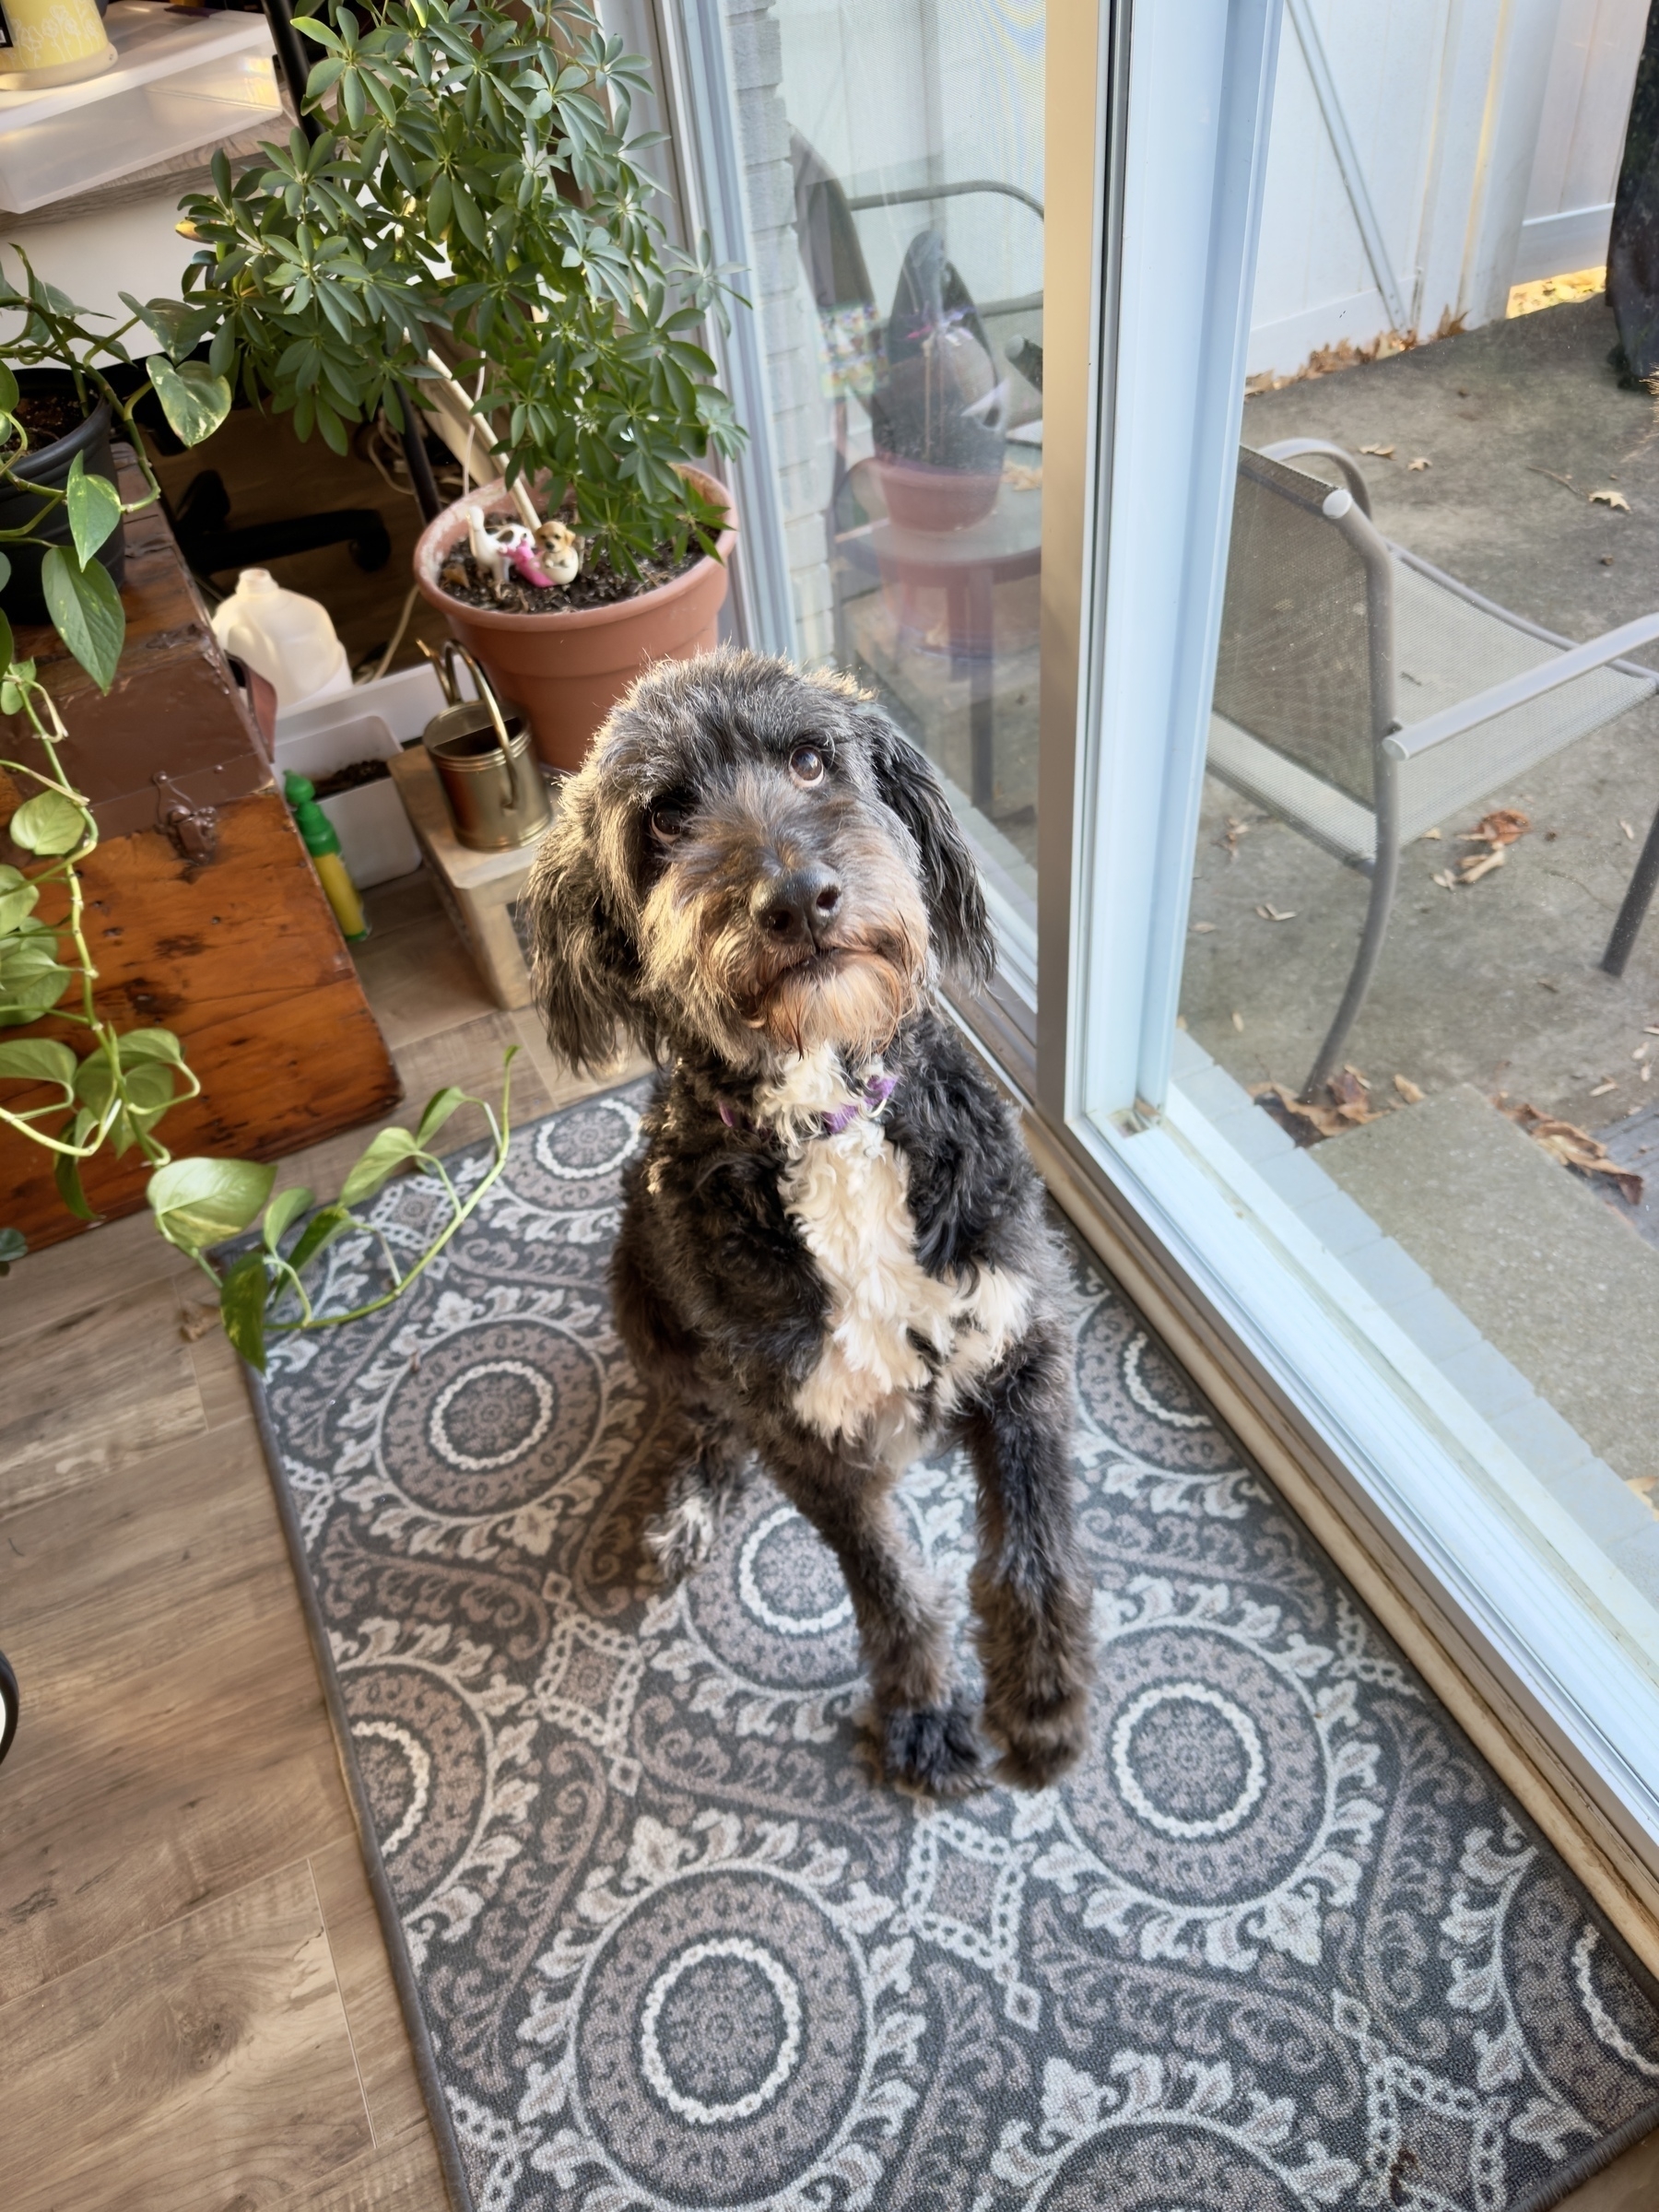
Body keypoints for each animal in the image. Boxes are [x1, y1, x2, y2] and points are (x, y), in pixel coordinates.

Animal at [533, 645, 1097, 1787]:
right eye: (665, 817)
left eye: (808, 759)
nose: (798, 896)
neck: (828, 1117)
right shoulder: (804, 1429)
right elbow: (884, 1582)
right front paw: (919, 1708)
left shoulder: (1022, 1336)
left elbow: (1034, 1536)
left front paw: (1043, 1695)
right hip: (641, 1300)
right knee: (702, 1422)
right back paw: (686, 1505)